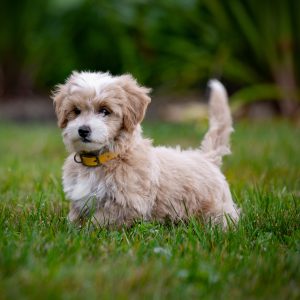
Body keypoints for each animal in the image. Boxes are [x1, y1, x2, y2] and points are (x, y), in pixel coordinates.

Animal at [51, 72, 239, 227]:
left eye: (105, 111)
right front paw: (70, 229)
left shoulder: (126, 204)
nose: (83, 130)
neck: (103, 158)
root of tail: (206, 157)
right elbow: (74, 219)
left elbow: (98, 222)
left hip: (216, 210)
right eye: (76, 111)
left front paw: (85, 232)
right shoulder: (79, 202)